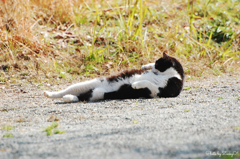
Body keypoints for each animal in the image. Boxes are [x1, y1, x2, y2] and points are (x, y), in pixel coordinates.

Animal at [44, 52, 185, 102]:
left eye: (158, 63)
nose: (154, 68)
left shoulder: (159, 91)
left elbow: (148, 83)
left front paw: (135, 85)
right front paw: (145, 65)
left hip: (97, 93)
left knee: (81, 97)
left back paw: (67, 98)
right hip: (90, 83)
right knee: (66, 91)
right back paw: (50, 94)